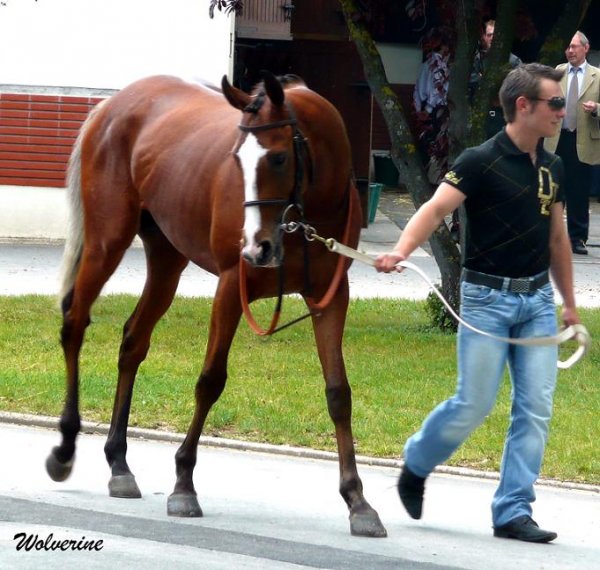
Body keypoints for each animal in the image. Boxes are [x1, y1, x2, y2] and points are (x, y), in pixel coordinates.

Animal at [45, 72, 384, 536]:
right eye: (237, 160)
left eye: (279, 158)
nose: (256, 248)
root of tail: (112, 106)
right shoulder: (229, 289)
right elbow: (210, 381)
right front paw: (183, 484)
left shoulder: (330, 300)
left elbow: (338, 393)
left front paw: (358, 500)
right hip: (105, 244)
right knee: (74, 324)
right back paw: (64, 447)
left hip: (167, 259)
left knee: (133, 341)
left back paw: (119, 463)